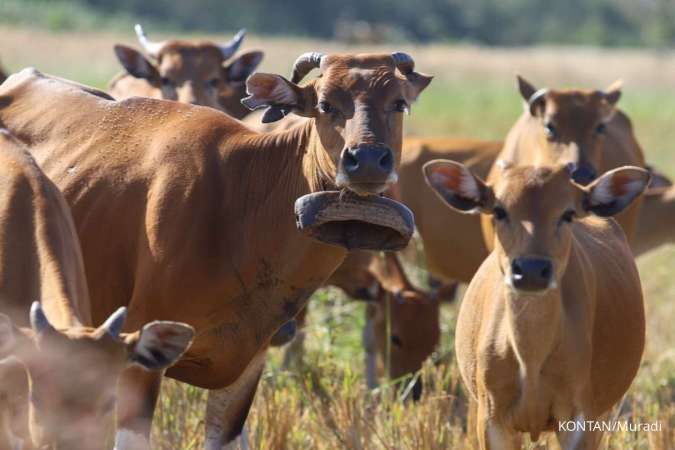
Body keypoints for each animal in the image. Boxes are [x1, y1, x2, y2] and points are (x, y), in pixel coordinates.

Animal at [426, 162, 652, 450]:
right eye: (499, 210)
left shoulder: (580, 414)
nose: (532, 270)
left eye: (568, 213)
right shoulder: (491, 416)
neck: (531, 364)